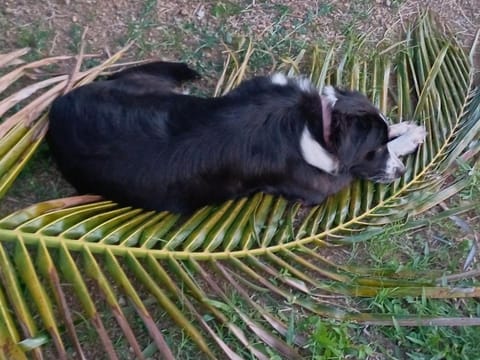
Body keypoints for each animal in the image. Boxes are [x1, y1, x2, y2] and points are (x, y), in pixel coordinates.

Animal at [47, 62, 426, 214]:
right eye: (371, 152)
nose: (401, 174)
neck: (316, 122)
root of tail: (56, 109)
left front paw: (404, 130)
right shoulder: (320, 185)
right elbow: (351, 172)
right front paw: (404, 143)